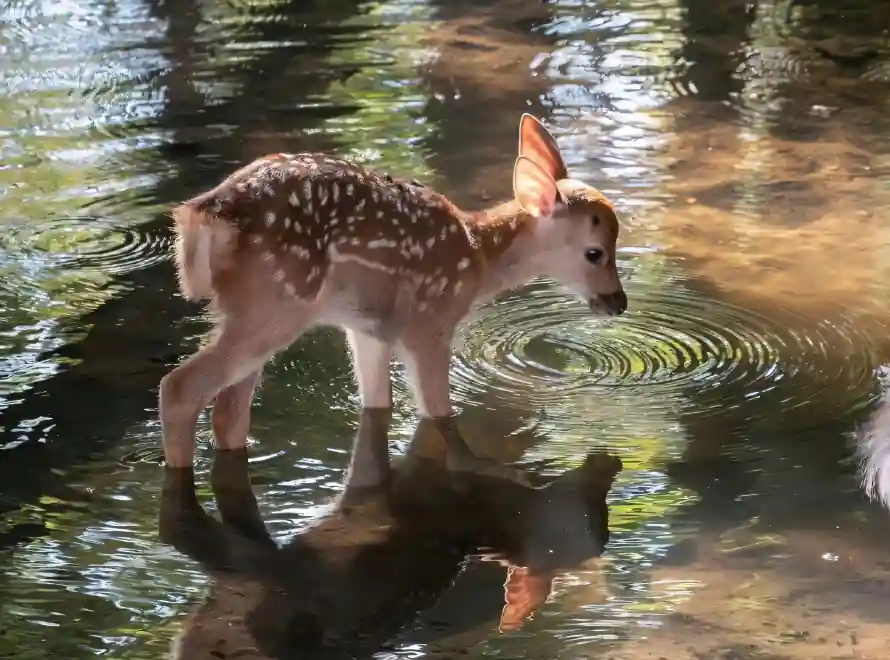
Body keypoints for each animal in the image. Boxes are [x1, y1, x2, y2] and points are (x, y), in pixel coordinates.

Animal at [160, 113, 627, 468]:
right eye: (595, 252)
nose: (618, 302)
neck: (477, 257)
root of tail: (203, 215)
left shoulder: (367, 329)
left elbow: (376, 408)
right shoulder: (429, 325)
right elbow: (439, 415)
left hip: (253, 310)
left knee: (228, 411)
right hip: (276, 302)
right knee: (180, 388)